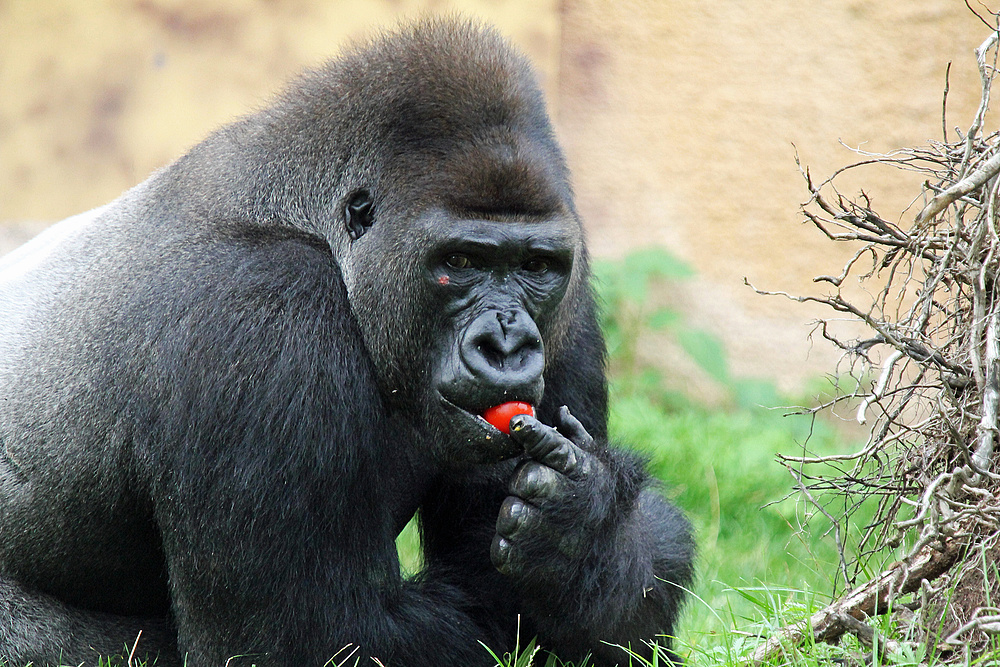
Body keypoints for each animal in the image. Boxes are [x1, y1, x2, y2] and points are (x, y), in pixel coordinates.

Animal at [0, 18, 696, 664]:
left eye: (535, 266)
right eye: (461, 261)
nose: (506, 347)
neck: (306, 218)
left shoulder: (570, 297)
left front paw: (585, 539)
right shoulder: (264, 315)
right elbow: (319, 638)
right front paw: (584, 533)